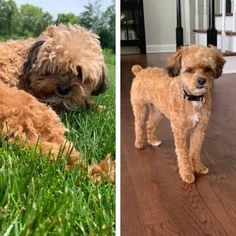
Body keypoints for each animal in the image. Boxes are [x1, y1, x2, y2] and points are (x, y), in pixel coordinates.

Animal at [131, 45, 225, 183]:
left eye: (208, 69)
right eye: (189, 70)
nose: (201, 80)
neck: (192, 97)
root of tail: (140, 71)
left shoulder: (200, 129)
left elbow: (195, 150)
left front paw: (198, 167)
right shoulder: (180, 130)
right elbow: (183, 154)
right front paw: (187, 174)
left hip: (157, 111)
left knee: (150, 124)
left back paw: (153, 141)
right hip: (140, 107)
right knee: (138, 125)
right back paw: (139, 143)